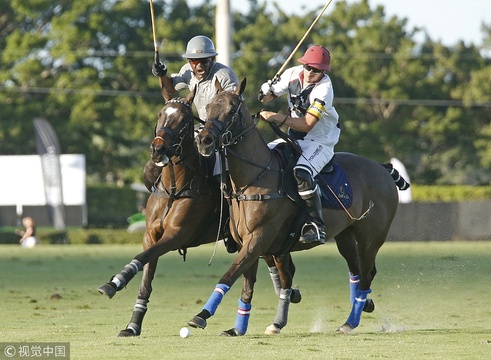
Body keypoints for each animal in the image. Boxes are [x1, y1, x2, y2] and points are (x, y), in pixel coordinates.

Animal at [98, 88, 302, 336]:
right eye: (160, 114)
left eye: (184, 121)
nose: (157, 149)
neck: (175, 188)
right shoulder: (151, 235)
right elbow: (146, 275)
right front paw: (132, 325)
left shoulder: (178, 234)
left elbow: (143, 256)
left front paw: (114, 282)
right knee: (279, 266)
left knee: (282, 268)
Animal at [190, 78, 410, 334]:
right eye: (209, 107)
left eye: (231, 111)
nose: (203, 140)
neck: (253, 180)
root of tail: (381, 167)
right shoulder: (248, 243)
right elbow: (247, 286)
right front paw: (238, 328)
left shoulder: (258, 240)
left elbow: (229, 276)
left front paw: (201, 316)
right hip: (345, 235)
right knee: (356, 272)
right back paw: (363, 306)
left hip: (371, 237)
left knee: (366, 274)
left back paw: (350, 322)